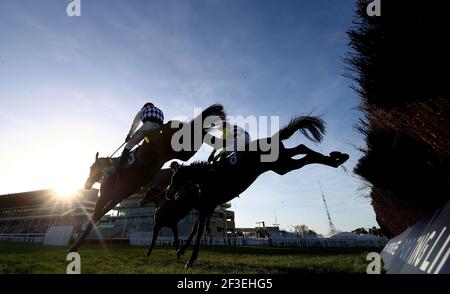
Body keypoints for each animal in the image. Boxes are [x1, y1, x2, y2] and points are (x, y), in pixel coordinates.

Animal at [68, 104, 227, 252]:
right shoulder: (116, 198)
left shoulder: (105, 197)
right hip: (183, 151)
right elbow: (99, 216)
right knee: (201, 134)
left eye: (92, 168)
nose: (87, 185)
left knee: (201, 132)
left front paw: (75, 246)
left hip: (180, 147)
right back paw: (217, 150)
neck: (110, 169)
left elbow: (94, 219)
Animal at [141, 116, 348, 268]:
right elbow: (196, 229)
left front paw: (190, 259)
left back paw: (336, 158)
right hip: (281, 164)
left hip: (281, 163)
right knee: (301, 149)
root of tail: (270, 139)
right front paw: (182, 251)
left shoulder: (207, 206)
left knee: (302, 152)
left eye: (174, 179)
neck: (206, 176)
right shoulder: (206, 207)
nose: (168, 194)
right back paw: (337, 158)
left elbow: (198, 231)